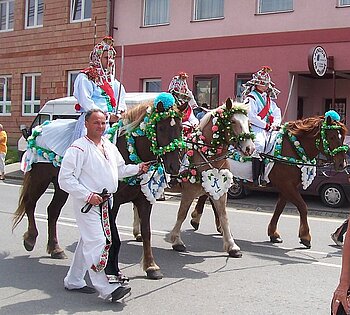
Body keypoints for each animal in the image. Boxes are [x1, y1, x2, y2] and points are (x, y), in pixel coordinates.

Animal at [13, 95, 183, 274]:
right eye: (161, 128)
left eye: (181, 128)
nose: (174, 166)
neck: (129, 151)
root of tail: (38, 129)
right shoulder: (112, 202)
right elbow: (112, 234)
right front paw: (111, 268)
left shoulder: (144, 200)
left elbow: (146, 232)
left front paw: (151, 266)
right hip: (40, 179)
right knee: (30, 203)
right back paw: (30, 239)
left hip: (62, 187)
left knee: (52, 211)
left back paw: (55, 249)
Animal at [189, 112, 348, 248]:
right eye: (332, 137)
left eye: (342, 137)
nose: (342, 164)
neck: (292, 148)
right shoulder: (287, 185)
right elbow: (303, 207)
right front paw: (305, 237)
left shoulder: (287, 187)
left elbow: (279, 208)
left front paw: (273, 233)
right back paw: (199, 219)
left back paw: (212, 224)